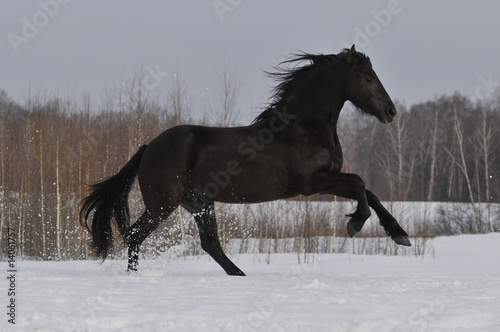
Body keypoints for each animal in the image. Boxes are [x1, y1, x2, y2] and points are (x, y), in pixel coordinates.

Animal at [81, 46, 410, 274]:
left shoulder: (326, 180)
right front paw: (355, 223)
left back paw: (239, 275)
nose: (391, 112)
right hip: (163, 202)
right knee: (135, 235)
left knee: (209, 243)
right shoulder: (311, 183)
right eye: (367, 77)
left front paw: (400, 234)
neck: (305, 126)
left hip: (198, 202)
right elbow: (360, 183)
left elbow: (369, 192)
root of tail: (149, 147)